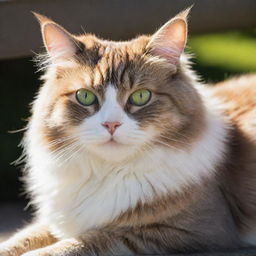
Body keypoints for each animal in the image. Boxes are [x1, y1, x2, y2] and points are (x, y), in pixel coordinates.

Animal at [0, 8, 256, 256]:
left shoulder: (187, 230)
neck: (107, 173)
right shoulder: (57, 220)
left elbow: (85, 242)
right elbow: (21, 239)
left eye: (141, 96)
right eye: (85, 96)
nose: (111, 125)